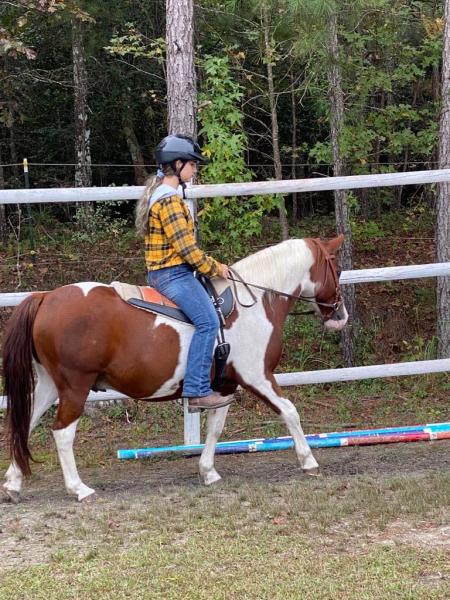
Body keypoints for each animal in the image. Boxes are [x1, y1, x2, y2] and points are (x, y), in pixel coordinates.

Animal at [1, 234, 348, 502]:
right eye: (338, 267)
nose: (340, 316)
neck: (253, 303)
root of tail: (46, 298)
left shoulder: (225, 385)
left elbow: (216, 427)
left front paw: (208, 472)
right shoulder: (257, 377)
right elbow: (289, 411)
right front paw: (309, 461)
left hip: (49, 385)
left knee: (26, 423)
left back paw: (14, 484)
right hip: (75, 386)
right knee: (62, 433)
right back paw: (79, 489)